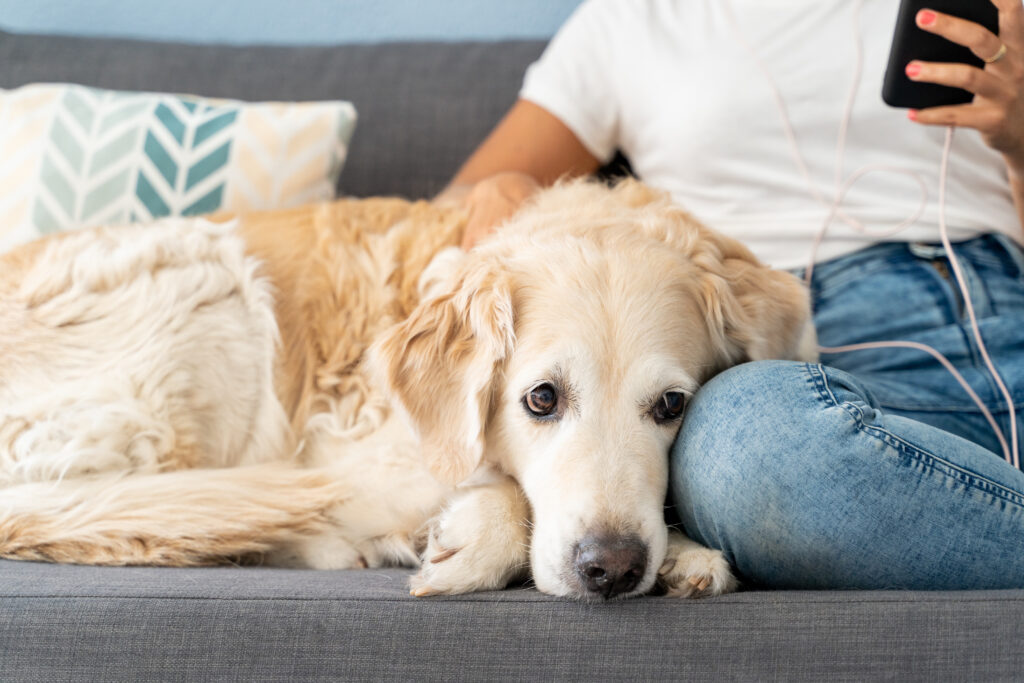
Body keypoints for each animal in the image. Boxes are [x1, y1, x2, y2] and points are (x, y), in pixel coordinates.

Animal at [0, 179, 815, 602]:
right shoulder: (348, 448)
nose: (610, 570)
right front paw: (470, 540)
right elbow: (496, 490)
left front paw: (687, 555)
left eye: (672, 406)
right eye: (541, 399)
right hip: (209, 284)